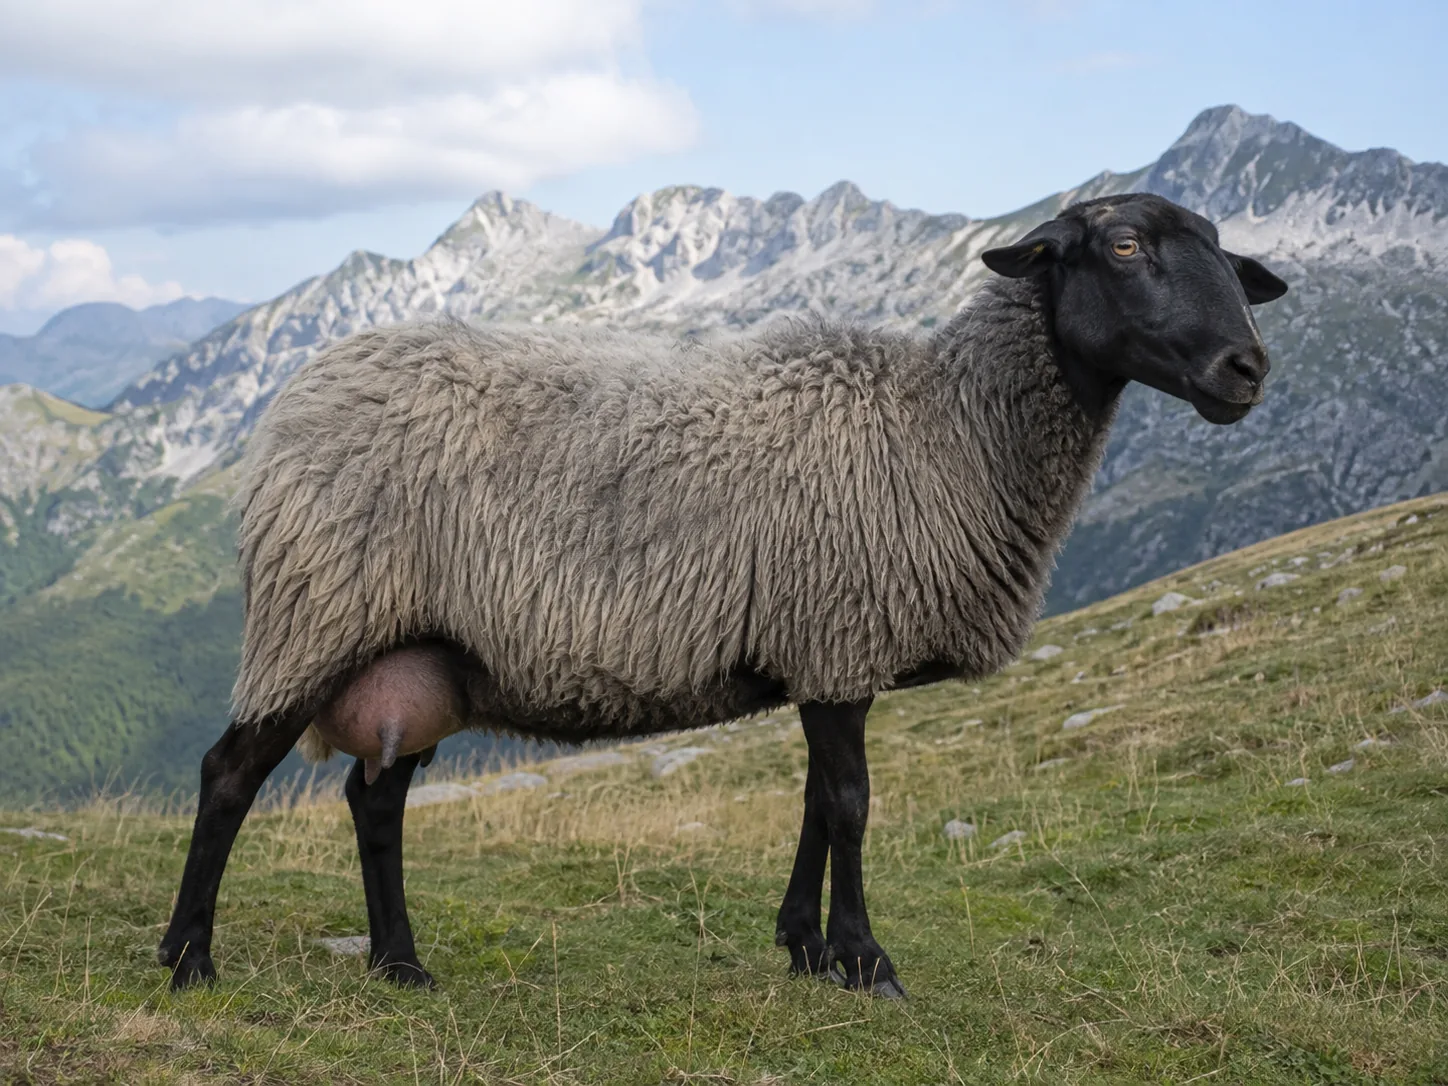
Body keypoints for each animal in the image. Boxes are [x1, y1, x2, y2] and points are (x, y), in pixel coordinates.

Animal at [159, 193, 1288, 996]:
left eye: (1227, 260)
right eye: (1124, 248)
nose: (1247, 369)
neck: (947, 426)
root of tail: (300, 392)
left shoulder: (824, 649)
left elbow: (815, 805)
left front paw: (805, 950)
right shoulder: (837, 633)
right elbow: (850, 805)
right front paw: (865, 963)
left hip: (413, 652)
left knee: (374, 797)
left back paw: (400, 965)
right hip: (314, 613)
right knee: (227, 775)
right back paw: (188, 961)